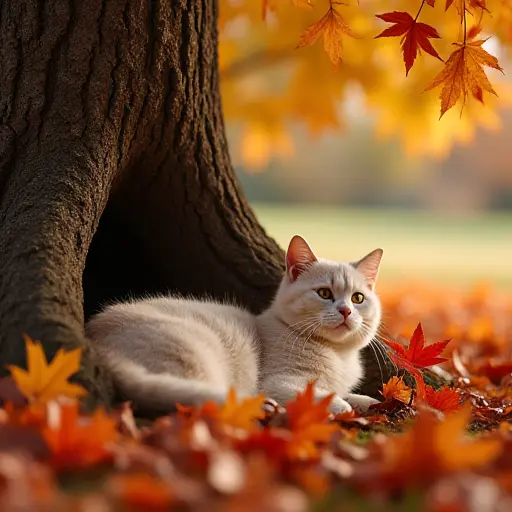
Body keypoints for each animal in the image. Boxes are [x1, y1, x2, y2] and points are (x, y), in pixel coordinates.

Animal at [86, 234, 384, 414]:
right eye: (324, 293)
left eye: (358, 298)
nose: (346, 310)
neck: (338, 356)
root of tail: (98, 344)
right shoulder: (279, 382)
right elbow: (323, 397)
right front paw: (342, 405)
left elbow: (352, 395)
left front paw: (370, 402)